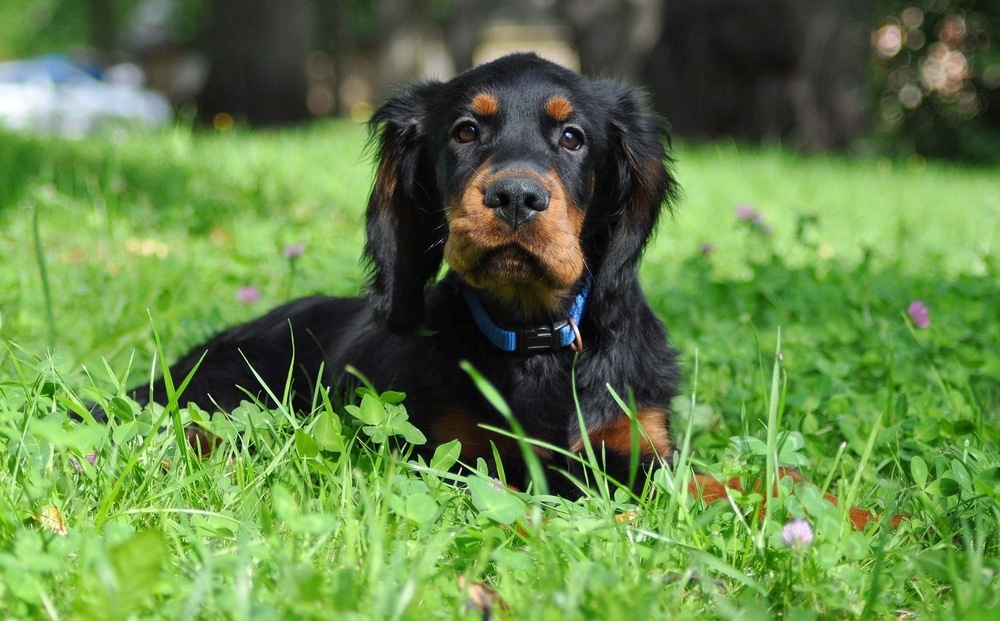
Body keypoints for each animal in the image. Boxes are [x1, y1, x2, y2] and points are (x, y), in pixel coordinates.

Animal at [101, 54, 880, 528]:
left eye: (573, 138)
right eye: (466, 131)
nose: (513, 196)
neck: (533, 339)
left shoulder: (639, 445)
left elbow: (740, 480)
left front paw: (871, 517)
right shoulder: (445, 454)